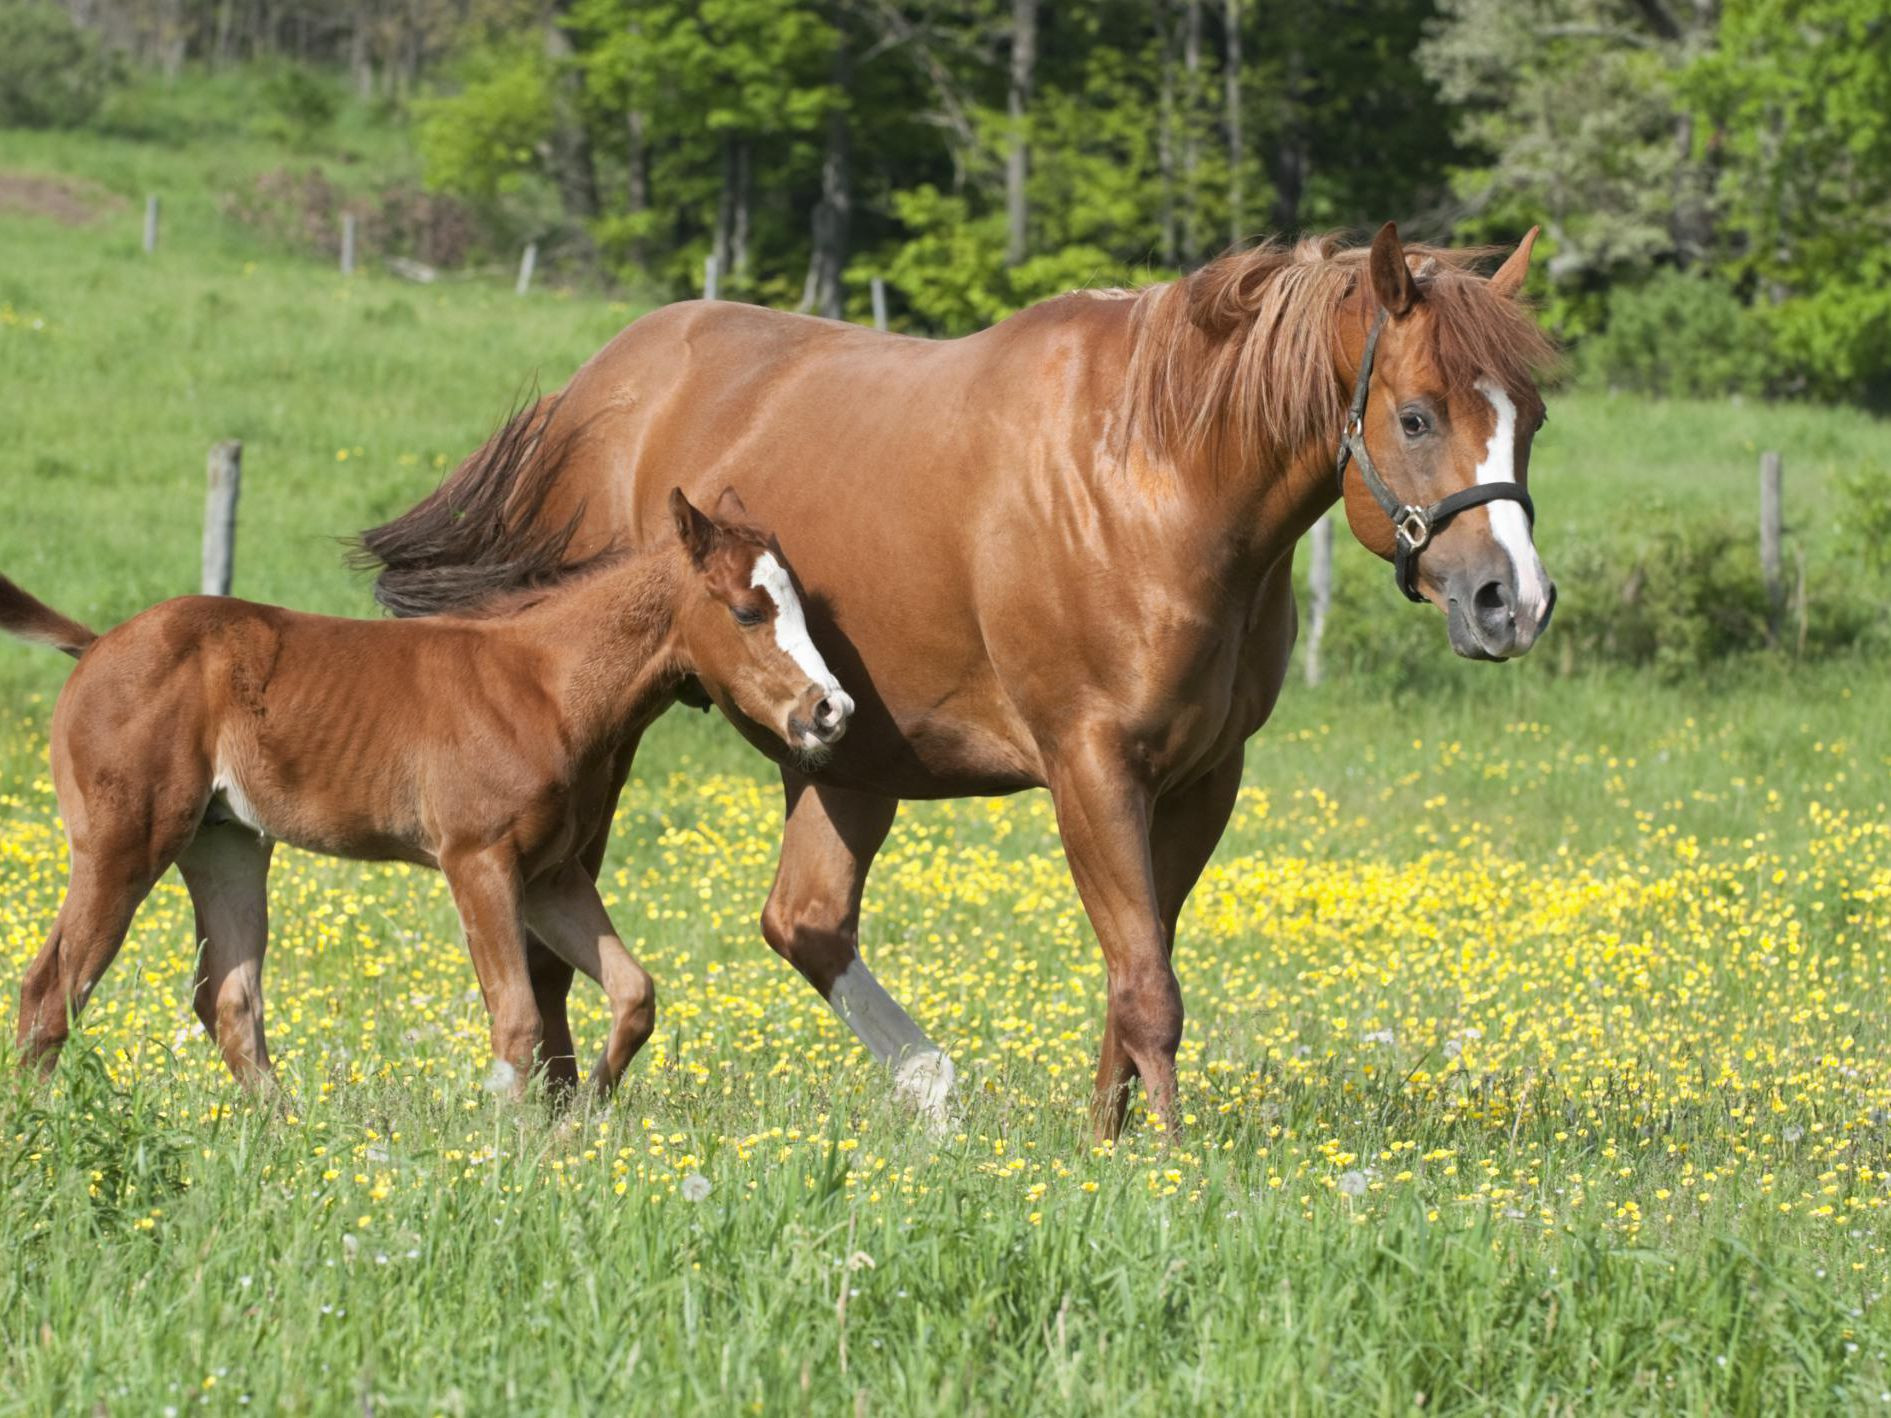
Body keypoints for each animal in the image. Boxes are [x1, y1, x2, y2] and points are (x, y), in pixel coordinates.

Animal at [3, 487, 854, 1096]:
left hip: (227, 844)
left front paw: (582, 1119)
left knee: (228, 1002)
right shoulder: (477, 860)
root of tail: (98, 646)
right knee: (53, 988)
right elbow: (516, 1021)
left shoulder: (550, 875)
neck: (545, 687)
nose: (831, 710)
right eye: (747, 611)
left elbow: (632, 994)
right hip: (124, 842)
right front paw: (504, 1149)